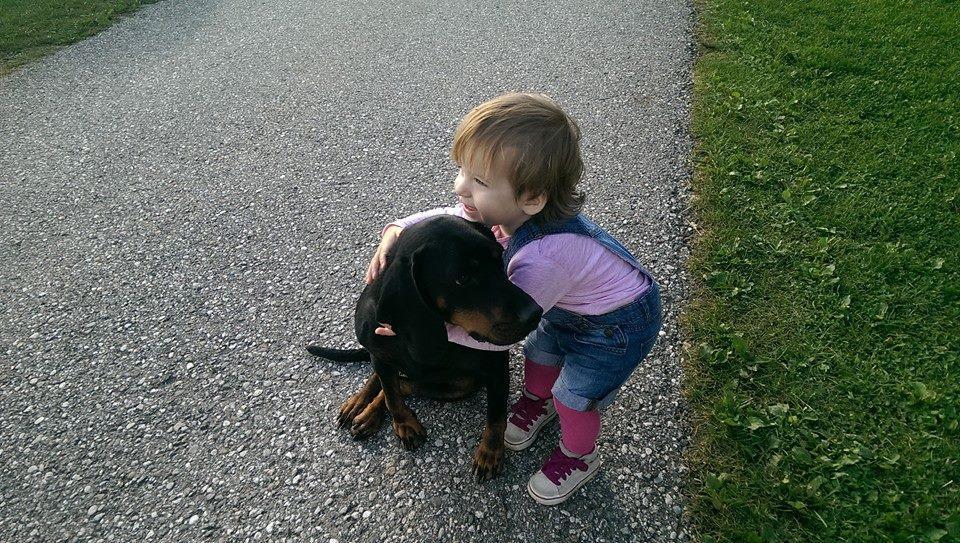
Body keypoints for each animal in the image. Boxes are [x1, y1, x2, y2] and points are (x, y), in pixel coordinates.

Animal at [312, 215, 544, 482]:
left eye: (499, 258)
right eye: (461, 278)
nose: (534, 313)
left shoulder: (496, 365)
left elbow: (496, 416)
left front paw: (490, 452)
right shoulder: (380, 353)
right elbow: (391, 394)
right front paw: (403, 423)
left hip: (462, 384)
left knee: (405, 383)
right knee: (387, 381)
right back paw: (360, 405)